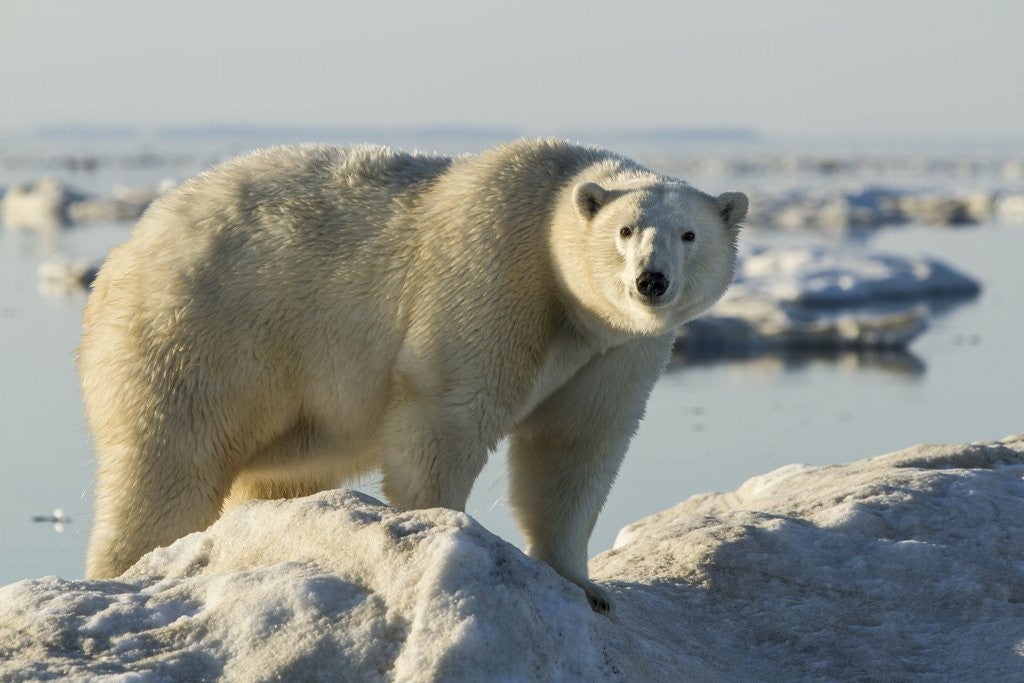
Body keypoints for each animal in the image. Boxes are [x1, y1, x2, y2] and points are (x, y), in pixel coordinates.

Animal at [79, 139, 746, 613]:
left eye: (690, 233)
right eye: (624, 230)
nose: (651, 281)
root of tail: (126, 251)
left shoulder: (617, 350)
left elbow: (575, 445)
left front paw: (585, 586)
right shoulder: (495, 270)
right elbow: (448, 413)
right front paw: (441, 535)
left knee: (276, 473)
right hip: (203, 331)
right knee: (170, 461)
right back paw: (129, 572)